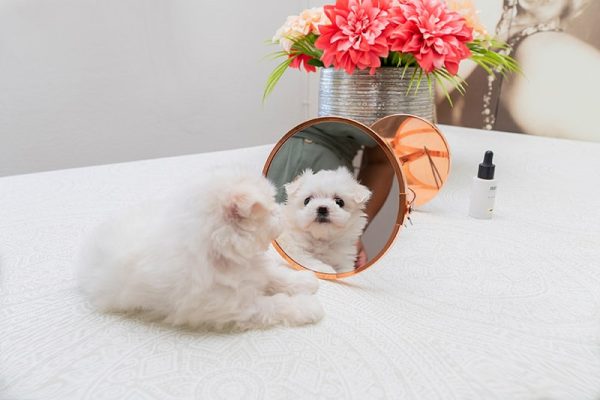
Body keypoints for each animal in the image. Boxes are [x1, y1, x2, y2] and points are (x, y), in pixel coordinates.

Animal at [79, 169, 326, 332]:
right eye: (271, 211)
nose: (280, 213)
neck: (219, 250)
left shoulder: (253, 269)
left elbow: (275, 276)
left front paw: (303, 281)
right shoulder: (240, 306)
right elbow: (276, 305)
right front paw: (307, 307)